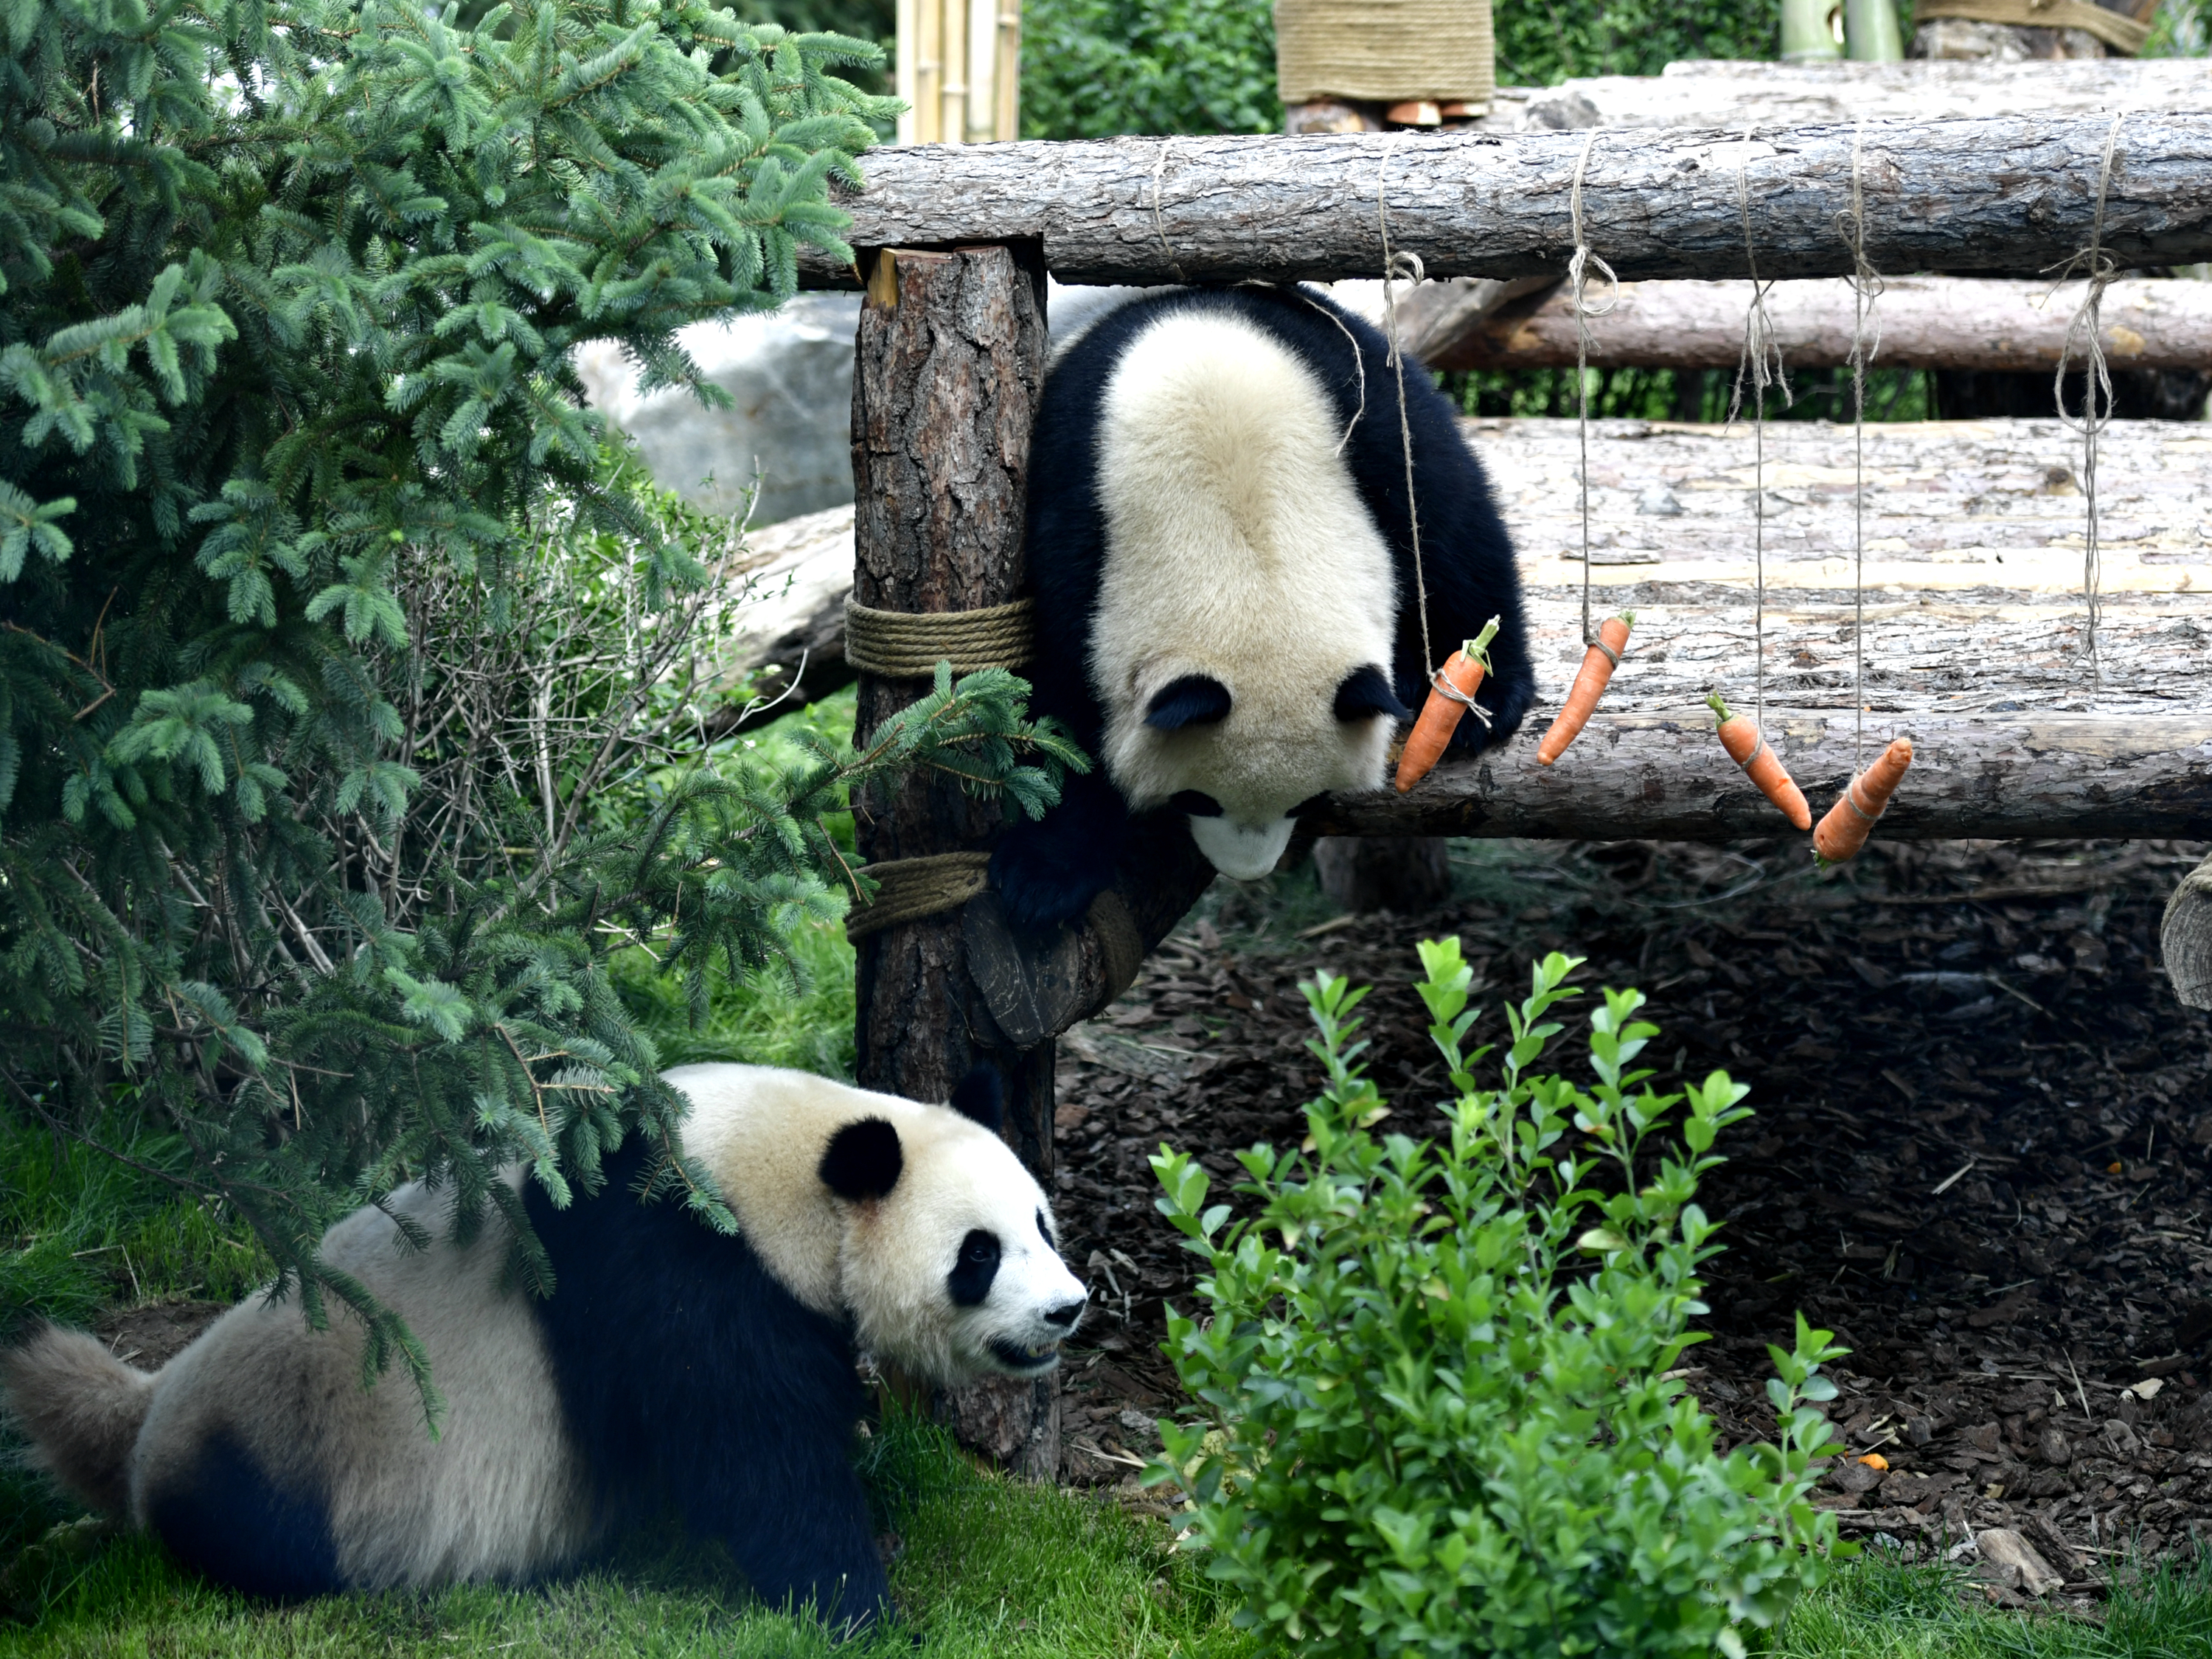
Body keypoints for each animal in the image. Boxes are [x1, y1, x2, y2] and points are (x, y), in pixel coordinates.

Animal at [0, 1066, 1088, 1637]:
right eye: (981, 1252)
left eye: (1044, 1222)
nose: (1068, 1311)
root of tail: (151, 1403)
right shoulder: (676, 1259)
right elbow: (752, 1452)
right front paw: (861, 1605)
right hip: (289, 1441)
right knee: (255, 1532)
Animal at [995, 285, 1531, 938]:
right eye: (1197, 800)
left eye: (1309, 802)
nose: (1247, 872)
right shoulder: (1078, 502)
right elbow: (1062, 707)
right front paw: (1042, 878)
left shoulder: (1350, 394)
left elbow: (1443, 513)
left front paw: (1481, 700)